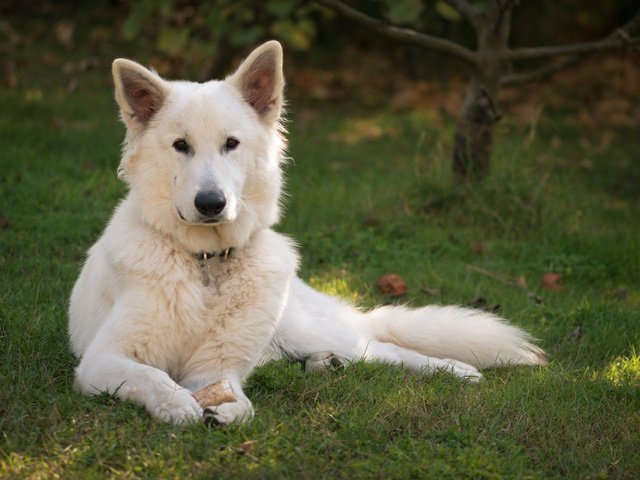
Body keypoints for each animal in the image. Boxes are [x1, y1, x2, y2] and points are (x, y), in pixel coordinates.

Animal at [69, 40, 544, 424]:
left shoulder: (214, 368)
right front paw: (178, 405)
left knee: (386, 349)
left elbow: (241, 404)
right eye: (180, 146)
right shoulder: (102, 360)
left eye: (231, 144)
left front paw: (227, 410)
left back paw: (454, 369)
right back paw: (324, 364)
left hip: (307, 330)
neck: (206, 267)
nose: (211, 204)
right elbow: (151, 377)